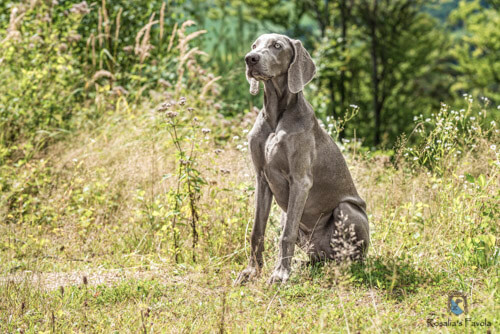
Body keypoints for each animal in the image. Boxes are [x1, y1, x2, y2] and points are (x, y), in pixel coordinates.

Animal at [235, 34, 372, 284]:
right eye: (254, 45)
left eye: (277, 46)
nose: (250, 59)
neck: (276, 115)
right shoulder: (262, 178)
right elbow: (257, 230)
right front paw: (252, 271)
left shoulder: (300, 180)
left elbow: (286, 235)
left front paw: (280, 274)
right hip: (290, 221)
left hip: (347, 210)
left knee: (349, 257)